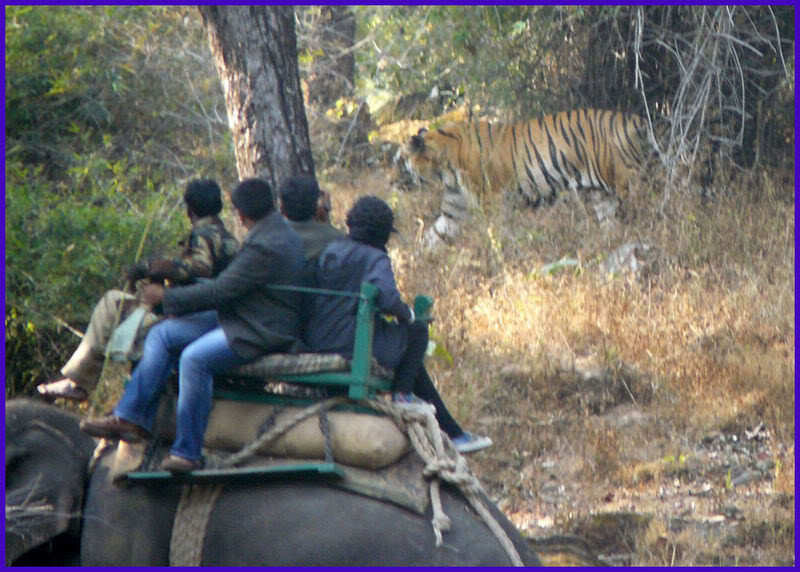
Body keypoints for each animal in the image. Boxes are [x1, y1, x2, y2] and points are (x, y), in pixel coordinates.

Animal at [404, 108, 652, 249]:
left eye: (402, 160)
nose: (398, 183)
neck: (445, 171)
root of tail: (633, 119)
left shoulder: (491, 200)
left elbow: (496, 232)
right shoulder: (453, 210)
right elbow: (434, 235)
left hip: (626, 180)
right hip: (600, 194)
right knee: (610, 220)